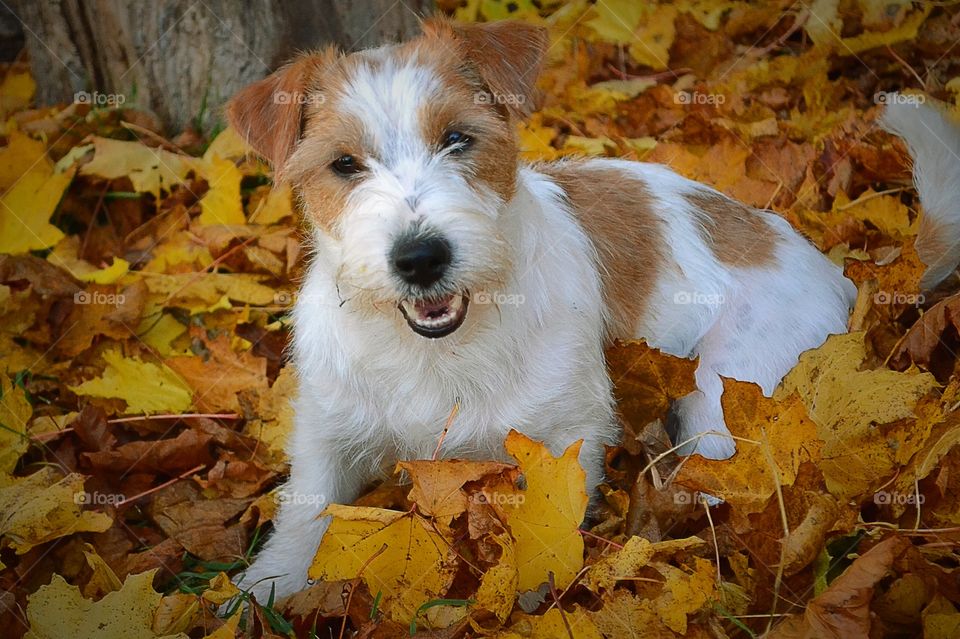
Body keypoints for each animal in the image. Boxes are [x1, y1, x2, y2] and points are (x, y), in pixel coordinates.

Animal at [225, 16, 960, 604]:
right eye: (343, 163)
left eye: (458, 138)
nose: (421, 257)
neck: (435, 349)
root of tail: (837, 272)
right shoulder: (327, 431)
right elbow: (306, 512)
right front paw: (262, 589)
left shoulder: (565, 439)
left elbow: (542, 534)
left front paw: (527, 605)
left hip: (724, 402)